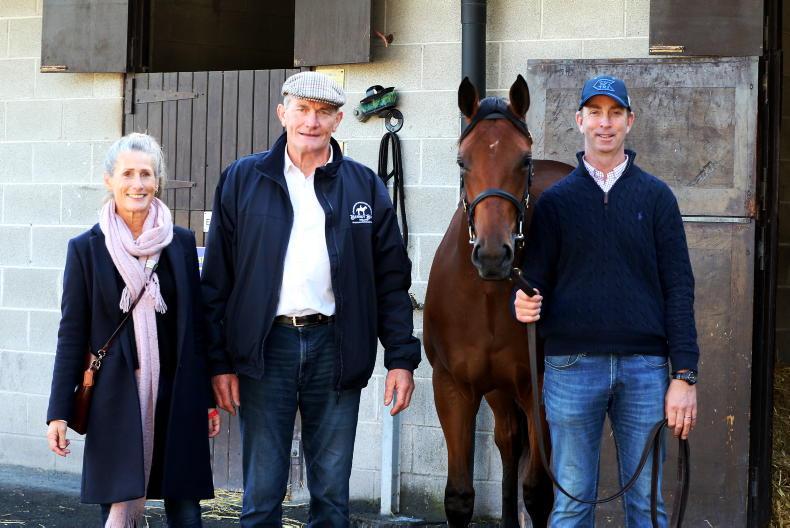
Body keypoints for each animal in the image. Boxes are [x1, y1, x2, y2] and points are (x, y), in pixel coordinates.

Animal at [423, 75, 573, 527]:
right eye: (461, 161)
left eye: (524, 160)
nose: (492, 255)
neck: (487, 297)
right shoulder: (453, 388)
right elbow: (458, 497)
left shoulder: (539, 390)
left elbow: (539, 492)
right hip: (499, 392)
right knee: (509, 442)